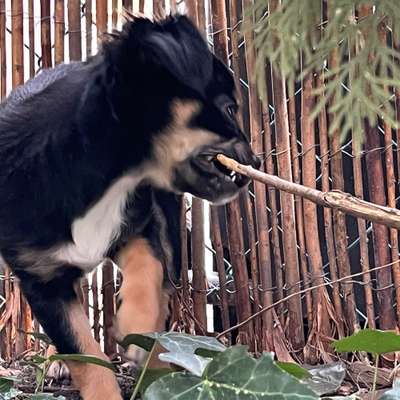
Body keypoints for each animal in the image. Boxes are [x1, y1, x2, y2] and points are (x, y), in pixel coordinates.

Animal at [0, 14, 260, 400]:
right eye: (229, 107)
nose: (255, 163)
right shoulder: (41, 280)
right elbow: (84, 352)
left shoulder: (138, 223)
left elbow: (148, 268)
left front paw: (136, 324)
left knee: (166, 277)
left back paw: (156, 356)